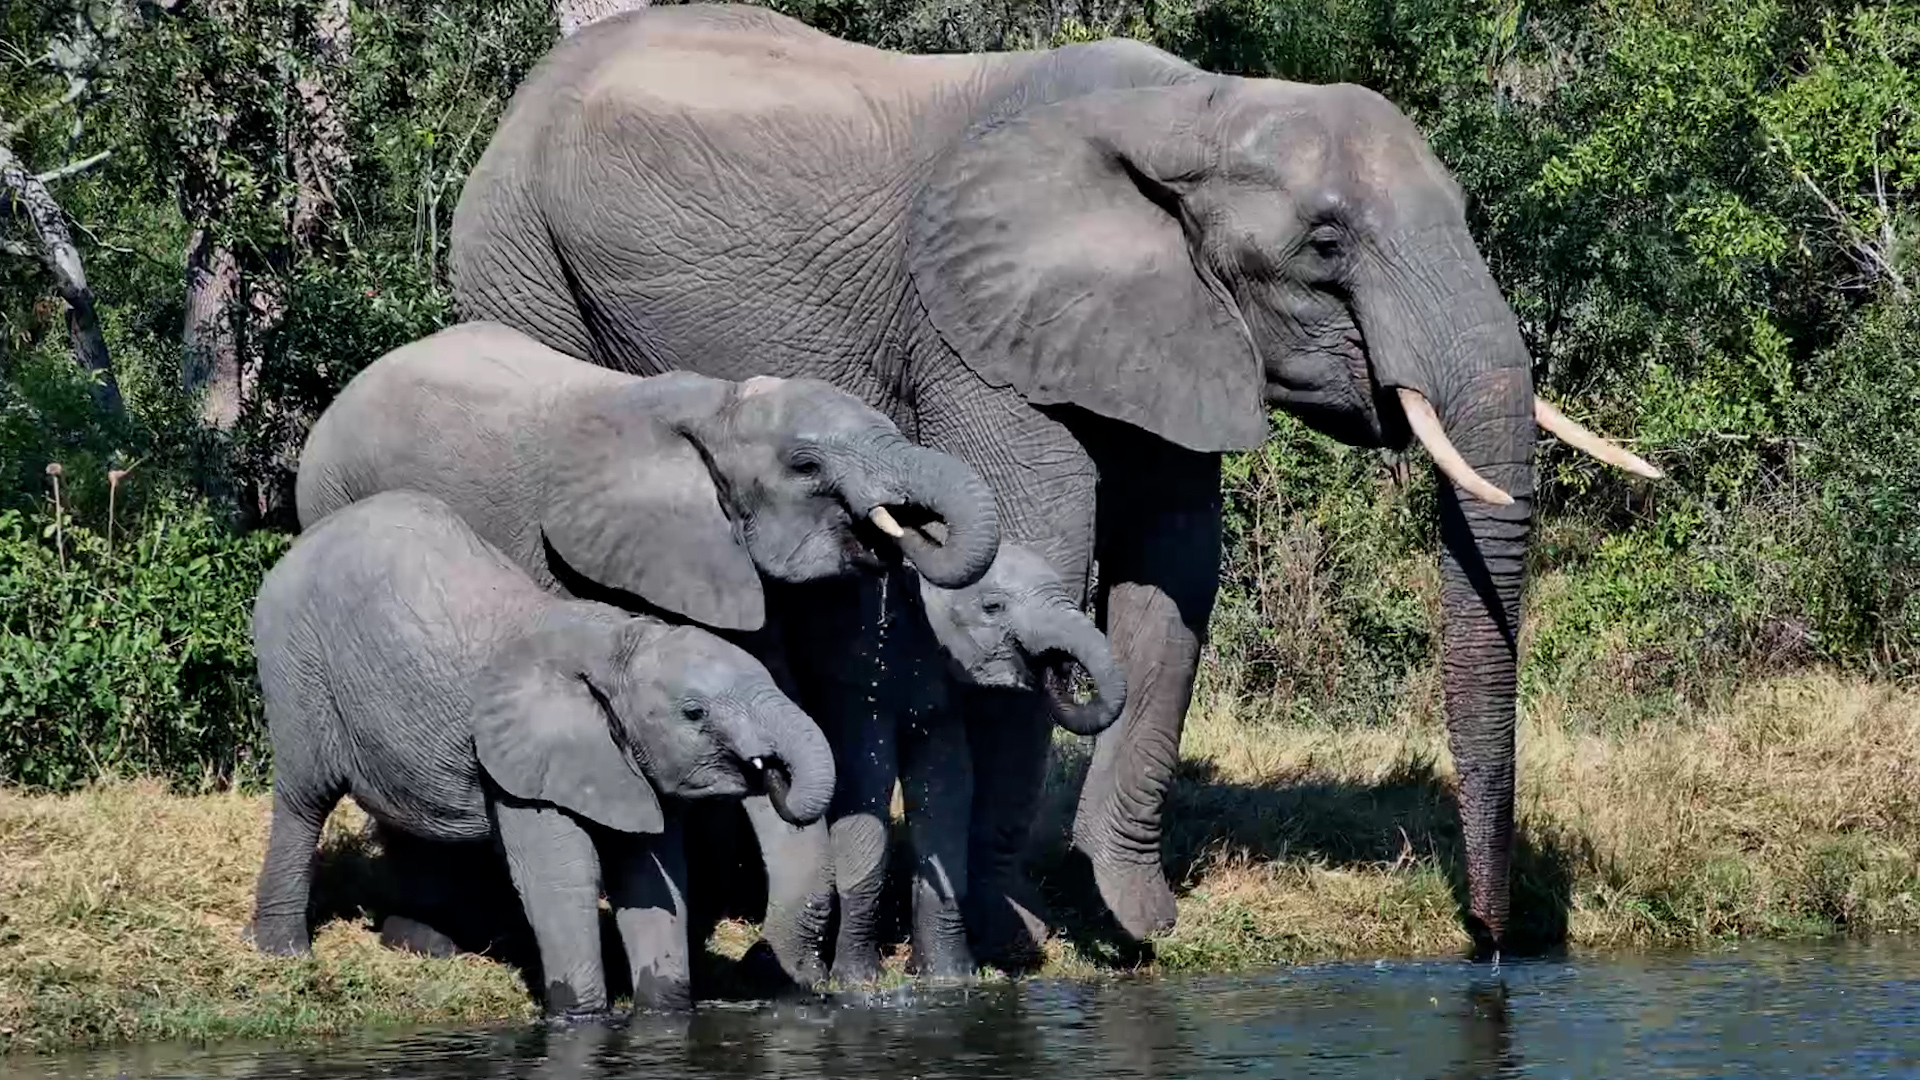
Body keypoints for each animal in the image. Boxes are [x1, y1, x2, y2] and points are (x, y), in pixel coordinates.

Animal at [248, 489, 837, 1015]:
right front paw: (580, 1016)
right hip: (296, 663)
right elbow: (561, 877)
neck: (616, 646)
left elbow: (655, 881)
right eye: (694, 713)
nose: (772, 771)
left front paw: (664, 1011)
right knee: (305, 800)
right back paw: (285, 953)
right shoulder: (522, 764)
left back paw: (427, 949)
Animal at [292, 318, 1003, 985]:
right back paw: (426, 941)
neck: (719, 408)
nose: (906, 532)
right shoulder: (593, 563)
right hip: (335, 502)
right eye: (806, 467)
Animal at [773, 541, 1127, 984]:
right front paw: (856, 981)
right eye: (993, 607)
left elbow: (946, 791)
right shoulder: (856, 667)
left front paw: (948, 978)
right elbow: (866, 785)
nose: (1054, 665)